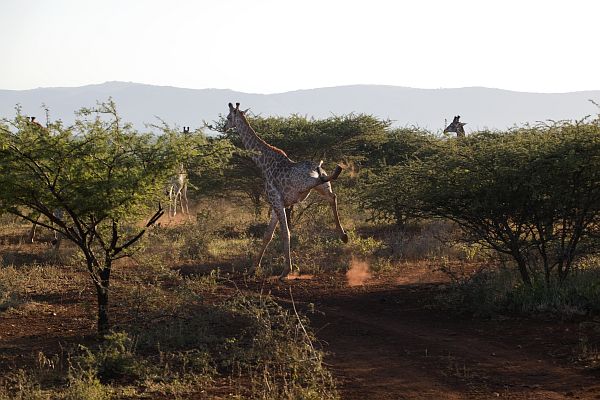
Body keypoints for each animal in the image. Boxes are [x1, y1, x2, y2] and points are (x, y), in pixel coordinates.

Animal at [225, 101, 346, 280]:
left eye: (228, 117)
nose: (224, 127)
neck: (264, 163)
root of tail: (317, 167)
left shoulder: (276, 200)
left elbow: (285, 233)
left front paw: (285, 271)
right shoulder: (277, 204)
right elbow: (267, 235)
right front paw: (252, 269)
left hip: (307, 184)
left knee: (322, 184)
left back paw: (336, 171)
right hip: (323, 188)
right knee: (333, 196)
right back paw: (343, 235)